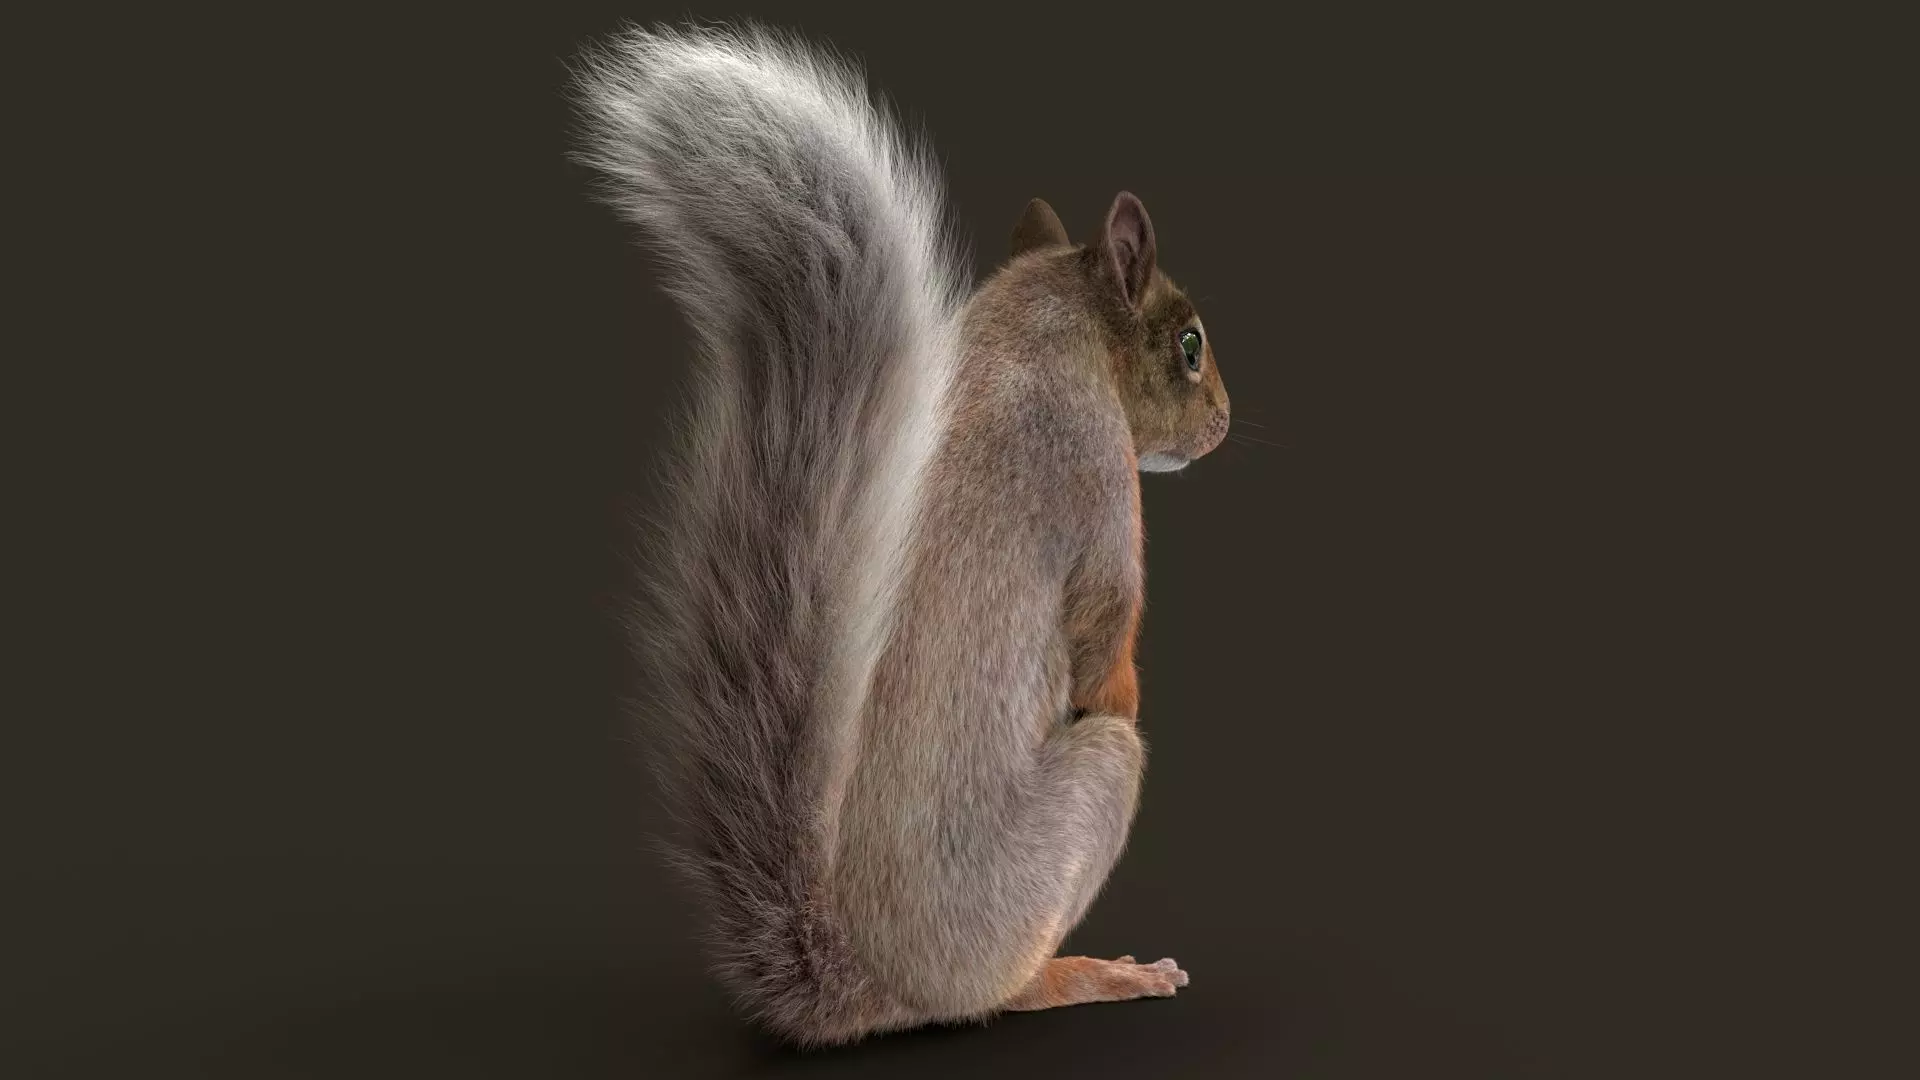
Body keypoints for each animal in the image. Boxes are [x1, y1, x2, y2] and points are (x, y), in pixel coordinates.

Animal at [571, 24, 1231, 1047]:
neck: (1041, 319)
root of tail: (875, 980)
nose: (1226, 421)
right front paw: (1119, 682)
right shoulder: (1096, 472)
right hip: (1068, 829)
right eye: (1190, 345)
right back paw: (1077, 975)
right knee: (1004, 974)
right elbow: (1104, 645)